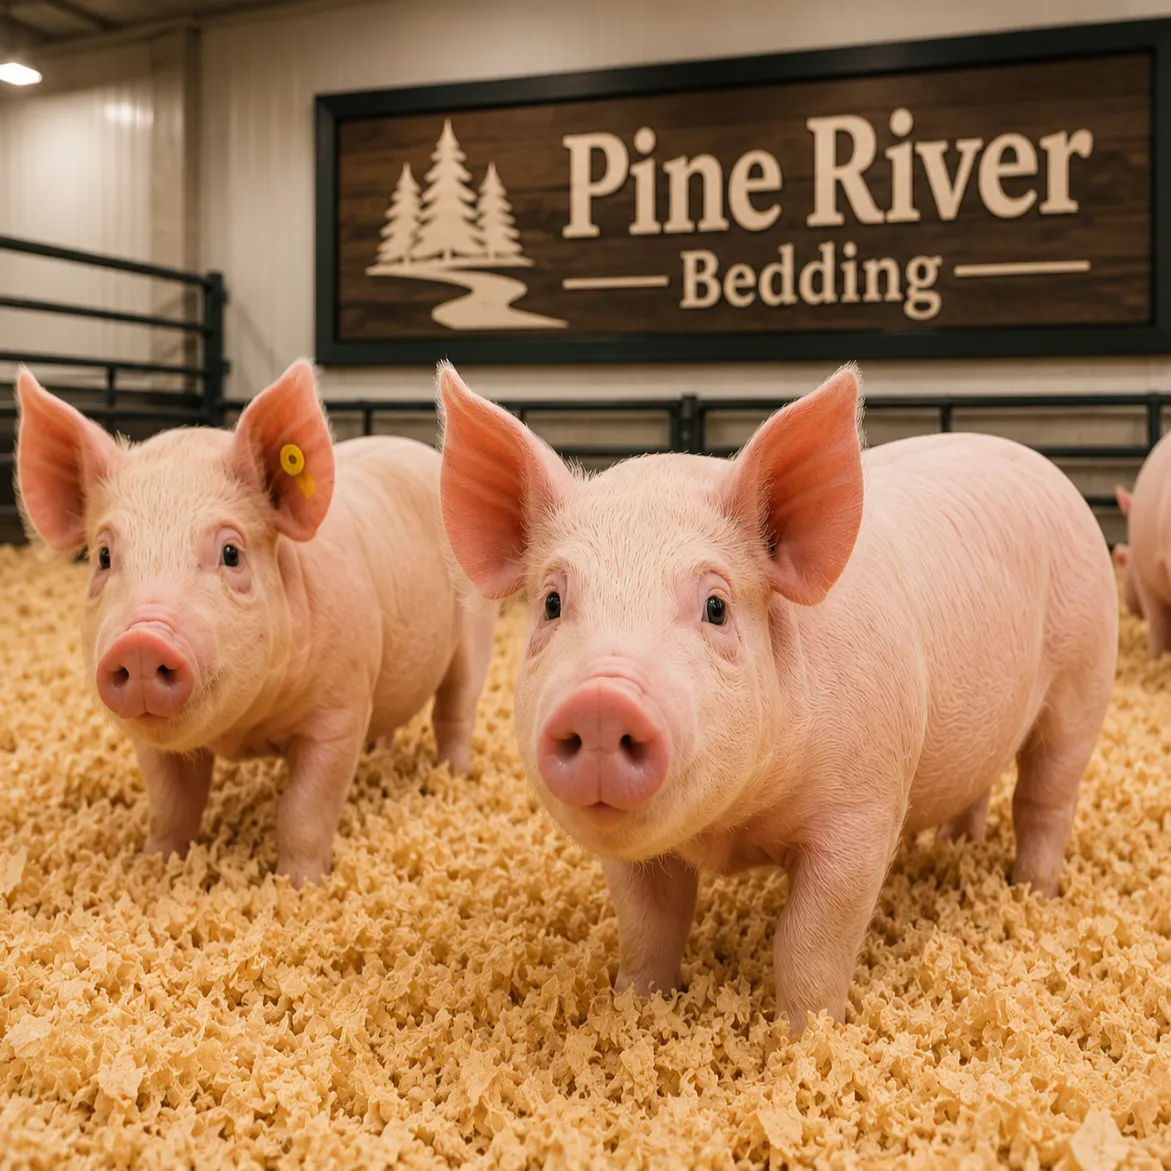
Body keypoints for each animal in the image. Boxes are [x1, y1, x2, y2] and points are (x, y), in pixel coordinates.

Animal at [15, 361, 497, 886]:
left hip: (474, 630)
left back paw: (454, 776)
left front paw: (300, 885)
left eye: (231, 552)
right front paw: (157, 866)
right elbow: (171, 805)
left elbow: (304, 811)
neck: (245, 730)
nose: (142, 641)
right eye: (103, 556)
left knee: (456, 707)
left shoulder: (340, 710)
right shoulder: (154, 746)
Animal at [436, 361, 1118, 1035]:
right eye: (552, 602)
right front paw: (636, 1010)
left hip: (1084, 673)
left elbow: (810, 942)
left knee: (1045, 796)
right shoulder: (636, 860)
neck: (734, 828)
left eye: (716, 607)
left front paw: (805, 1038)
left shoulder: (862, 813)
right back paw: (958, 846)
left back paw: (1033, 893)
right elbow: (648, 927)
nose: (603, 701)